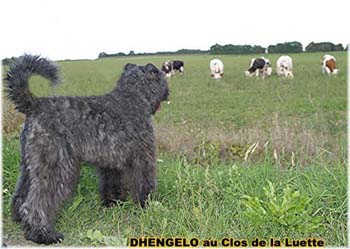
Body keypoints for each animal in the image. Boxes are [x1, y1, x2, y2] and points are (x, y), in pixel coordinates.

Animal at [5, 54, 170, 243]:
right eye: (160, 75)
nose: (167, 92)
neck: (132, 96)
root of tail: (35, 105)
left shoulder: (110, 162)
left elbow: (112, 183)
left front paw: (113, 203)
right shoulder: (143, 157)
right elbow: (145, 183)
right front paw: (148, 205)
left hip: (30, 165)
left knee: (21, 194)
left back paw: (19, 219)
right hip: (55, 166)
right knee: (36, 203)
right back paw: (42, 233)